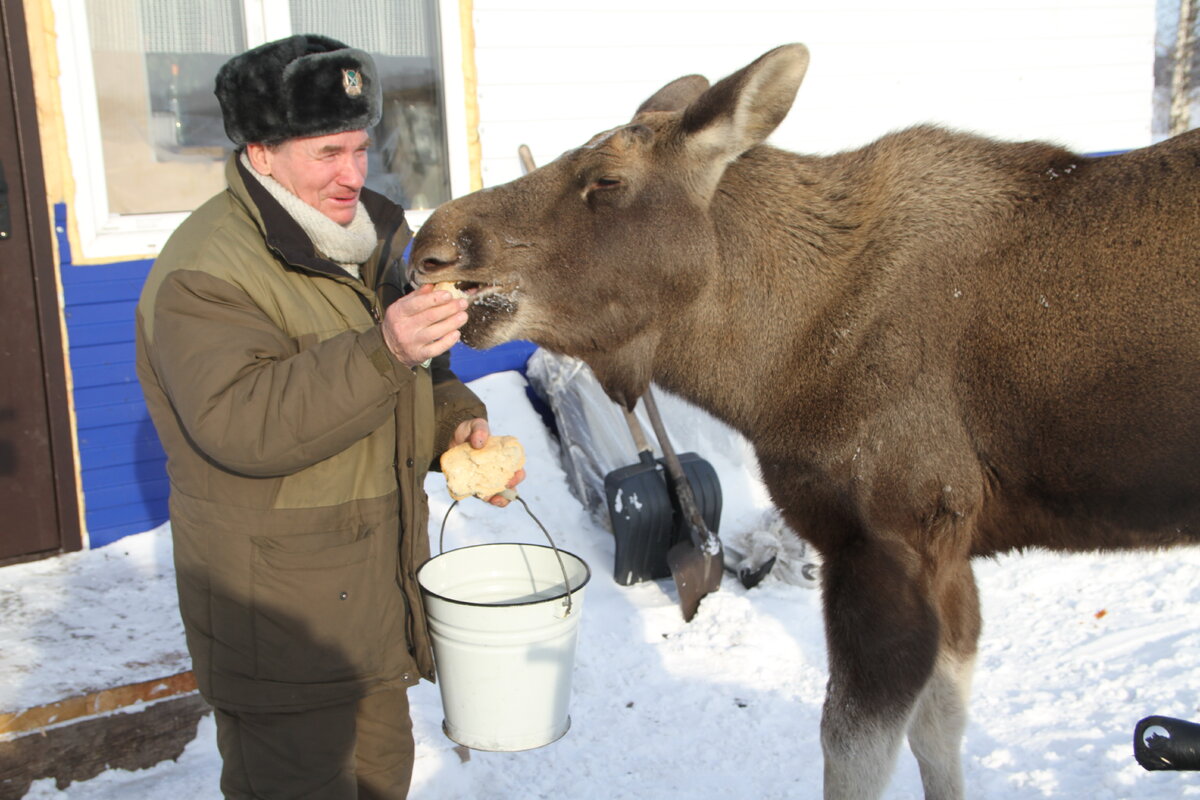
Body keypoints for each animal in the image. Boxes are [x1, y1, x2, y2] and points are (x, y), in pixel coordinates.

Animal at [408, 45, 1195, 800]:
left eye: (605, 178)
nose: (428, 248)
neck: (771, 369)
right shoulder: (948, 551)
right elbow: (940, 726)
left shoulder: (888, 540)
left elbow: (854, 752)